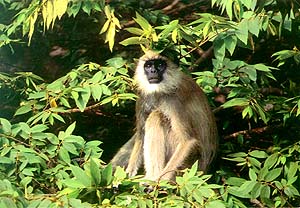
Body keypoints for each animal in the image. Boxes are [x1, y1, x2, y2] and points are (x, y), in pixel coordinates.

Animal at [110, 50, 218, 180]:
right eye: (148, 66)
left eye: (160, 65)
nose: (153, 71)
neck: (160, 91)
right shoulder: (143, 96)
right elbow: (141, 133)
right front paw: (128, 172)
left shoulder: (173, 100)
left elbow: (188, 141)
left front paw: (160, 181)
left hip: (188, 166)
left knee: (156, 116)